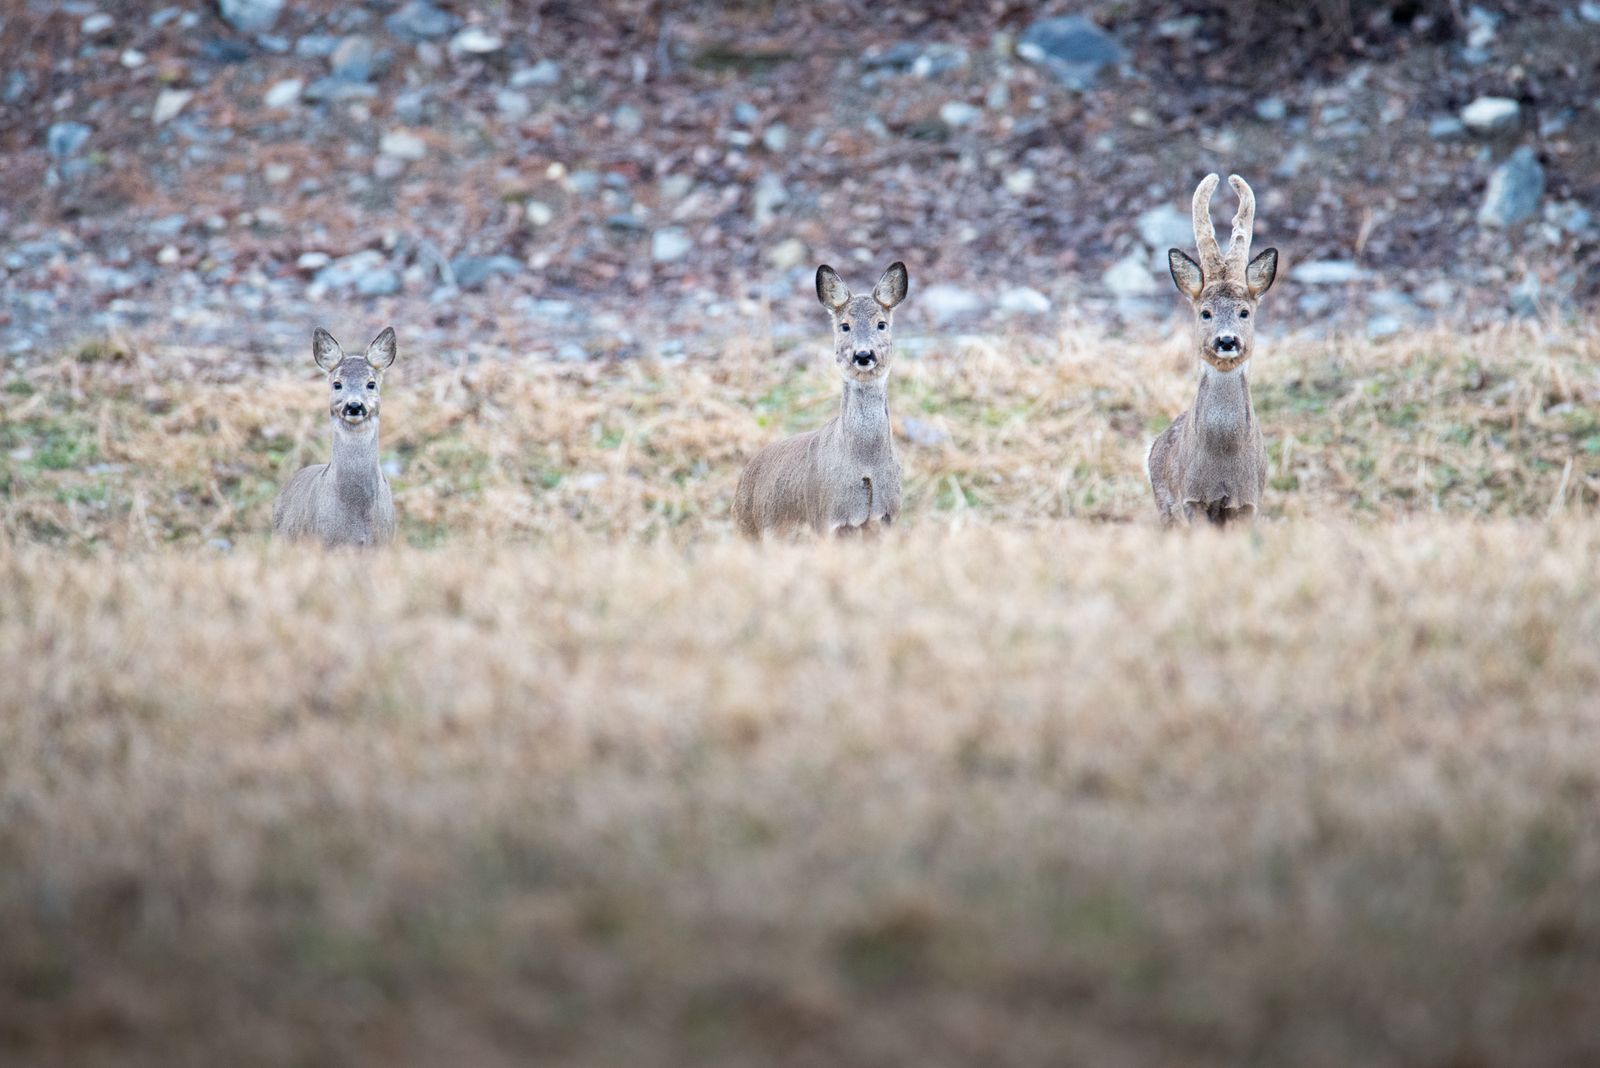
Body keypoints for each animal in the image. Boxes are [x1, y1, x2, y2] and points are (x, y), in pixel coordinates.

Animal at [734, 262, 909, 538]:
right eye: (845, 325)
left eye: (881, 324)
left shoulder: (887, 517)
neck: (865, 465)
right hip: (748, 530)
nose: (863, 354)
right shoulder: (825, 519)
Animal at [1146, 174, 1280, 527]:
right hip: (1164, 508)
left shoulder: (1249, 503)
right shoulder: (1191, 500)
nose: (1227, 341)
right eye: (1205, 312)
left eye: (1244, 312)